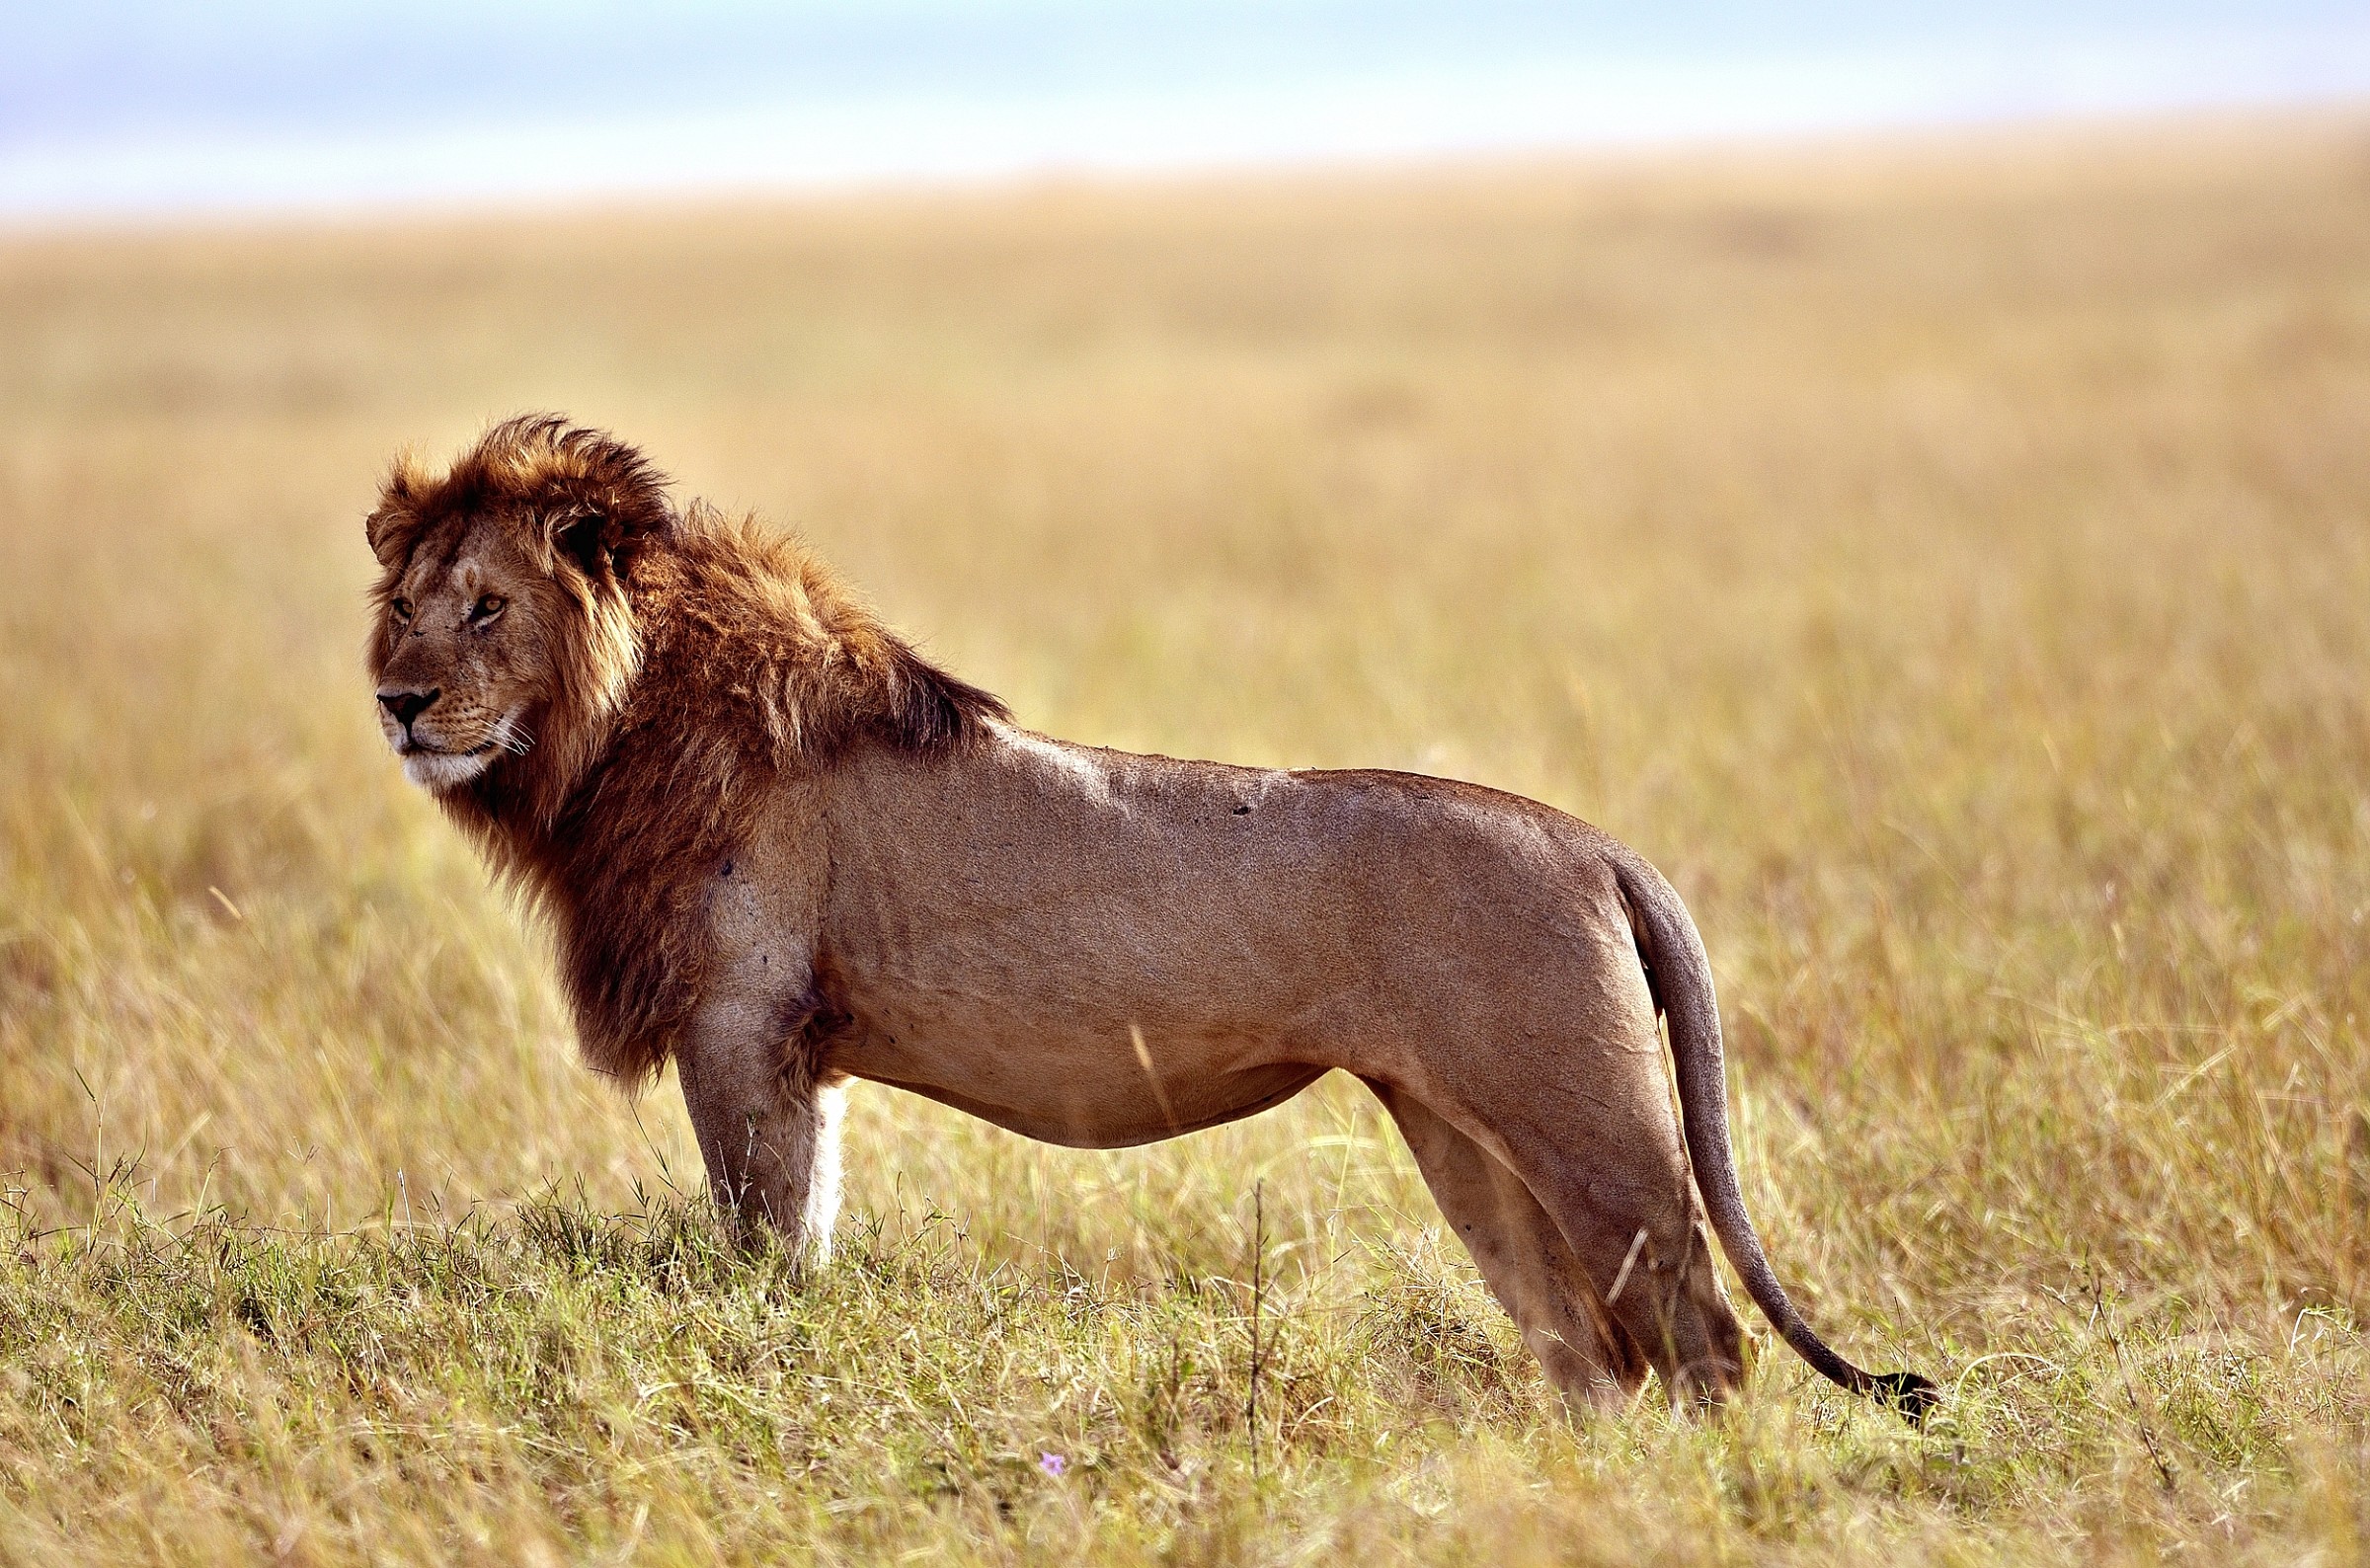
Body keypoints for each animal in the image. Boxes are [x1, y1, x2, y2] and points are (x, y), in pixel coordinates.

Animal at [364, 414, 1935, 1417]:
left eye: (488, 608)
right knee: (1598, 1357)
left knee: (1704, 1341)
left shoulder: (741, 1025)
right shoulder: (792, 1052)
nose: (397, 701)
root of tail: (1599, 846)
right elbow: (803, 1232)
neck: (610, 735)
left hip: (1589, 1125)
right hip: (1470, 1147)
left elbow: (760, 1243)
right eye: (402, 606)